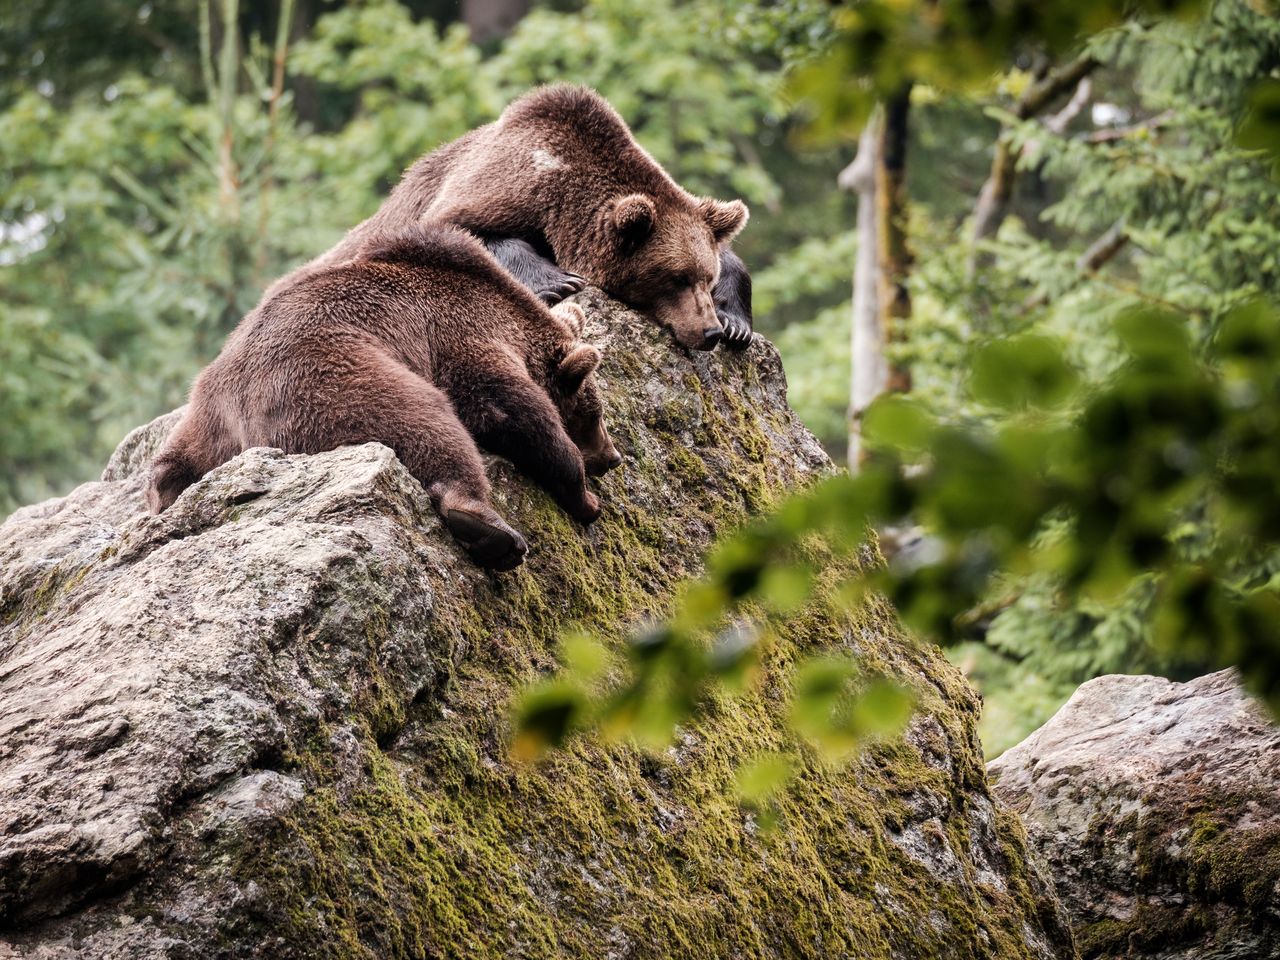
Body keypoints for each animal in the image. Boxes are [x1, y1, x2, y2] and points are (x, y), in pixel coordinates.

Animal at [149, 225, 619, 570]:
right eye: (594, 415)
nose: (612, 457)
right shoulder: (463, 336)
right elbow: (512, 407)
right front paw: (584, 496)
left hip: (205, 417)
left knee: (173, 457)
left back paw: (162, 492)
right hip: (333, 377)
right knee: (425, 422)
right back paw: (490, 529)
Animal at [300, 85, 752, 353]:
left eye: (705, 278)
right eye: (674, 277)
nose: (709, 332)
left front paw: (737, 323)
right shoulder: (501, 184)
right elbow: (455, 231)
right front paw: (559, 281)